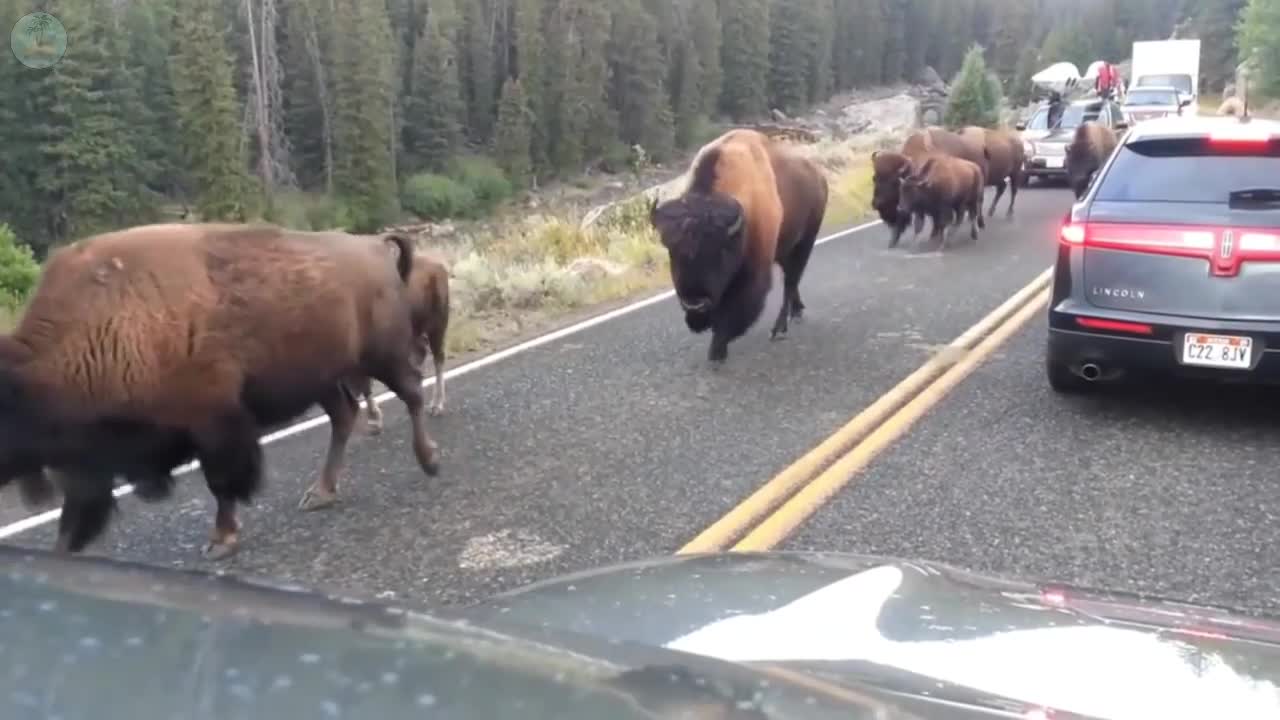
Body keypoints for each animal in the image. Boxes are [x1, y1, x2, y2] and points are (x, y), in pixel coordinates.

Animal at [0, 221, 440, 558]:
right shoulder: (89, 459)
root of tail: (373, 246)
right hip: (324, 377)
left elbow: (222, 483)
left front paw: (220, 541)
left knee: (412, 392)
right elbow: (76, 512)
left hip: (382, 356)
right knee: (344, 416)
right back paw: (320, 493)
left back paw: (430, 460)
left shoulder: (214, 425)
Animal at [348, 245, 453, 438]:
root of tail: (438, 267)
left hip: (438, 324)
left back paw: (436, 405)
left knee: (438, 358)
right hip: (417, 330)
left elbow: (365, 383)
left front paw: (375, 420)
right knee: (422, 353)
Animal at [650, 127, 829, 363]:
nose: (695, 305)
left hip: (805, 241)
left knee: (791, 282)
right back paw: (797, 312)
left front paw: (716, 352)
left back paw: (779, 329)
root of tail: (819, 175)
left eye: (719, 252)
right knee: (792, 280)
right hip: (785, 248)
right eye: (672, 251)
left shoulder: (753, 273)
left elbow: (734, 311)